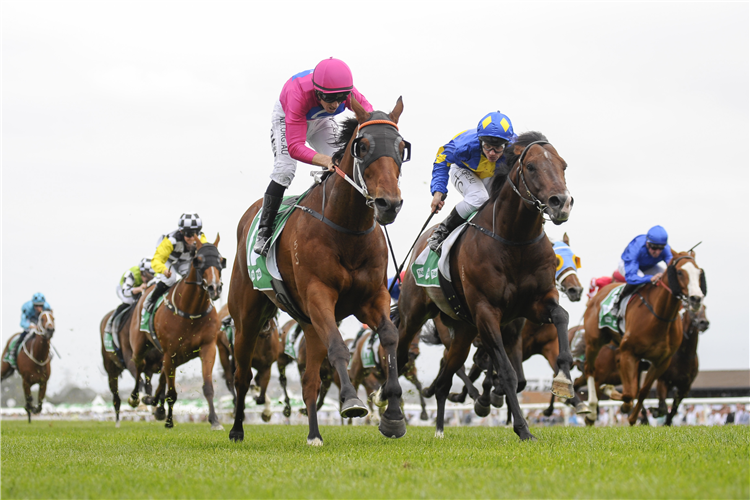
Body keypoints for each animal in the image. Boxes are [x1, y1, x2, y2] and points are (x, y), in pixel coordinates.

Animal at [129, 238, 226, 430]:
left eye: (221, 260)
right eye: (198, 260)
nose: (214, 287)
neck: (191, 311)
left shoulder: (208, 348)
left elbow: (208, 387)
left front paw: (215, 420)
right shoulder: (170, 353)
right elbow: (171, 393)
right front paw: (169, 421)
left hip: (176, 356)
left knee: (161, 378)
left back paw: (154, 403)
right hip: (141, 346)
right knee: (139, 365)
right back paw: (136, 397)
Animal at [229, 97, 412, 446]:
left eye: (401, 147)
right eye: (362, 146)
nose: (389, 204)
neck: (346, 228)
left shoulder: (372, 297)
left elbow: (390, 336)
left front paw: (393, 413)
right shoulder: (319, 295)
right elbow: (339, 346)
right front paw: (352, 401)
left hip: (308, 325)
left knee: (310, 383)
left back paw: (314, 434)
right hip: (247, 318)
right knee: (242, 374)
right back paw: (236, 429)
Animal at [394, 133, 576, 442]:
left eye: (563, 165)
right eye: (531, 167)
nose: (561, 202)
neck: (514, 241)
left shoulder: (536, 302)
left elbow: (561, 316)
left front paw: (563, 378)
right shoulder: (486, 312)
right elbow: (506, 373)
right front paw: (522, 428)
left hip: (463, 332)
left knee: (445, 378)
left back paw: (440, 428)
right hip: (414, 315)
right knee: (400, 352)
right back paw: (388, 410)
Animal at [584, 250, 708, 426]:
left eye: (699, 272)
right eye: (679, 272)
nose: (696, 299)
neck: (660, 317)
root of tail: (598, 293)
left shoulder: (661, 362)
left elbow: (642, 391)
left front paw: (632, 417)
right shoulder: (629, 352)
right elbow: (630, 392)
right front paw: (613, 394)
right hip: (594, 342)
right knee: (589, 370)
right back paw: (592, 411)